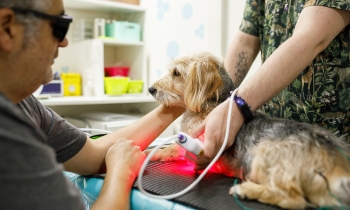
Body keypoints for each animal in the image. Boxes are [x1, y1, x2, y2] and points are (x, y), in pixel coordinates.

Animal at [147, 51, 350, 210]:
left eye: (176, 73)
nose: (150, 89)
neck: (210, 103)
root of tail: (336, 159)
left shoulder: (197, 140)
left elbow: (172, 148)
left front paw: (152, 153)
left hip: (264, 155)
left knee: (294, 200)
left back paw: (246, 190)